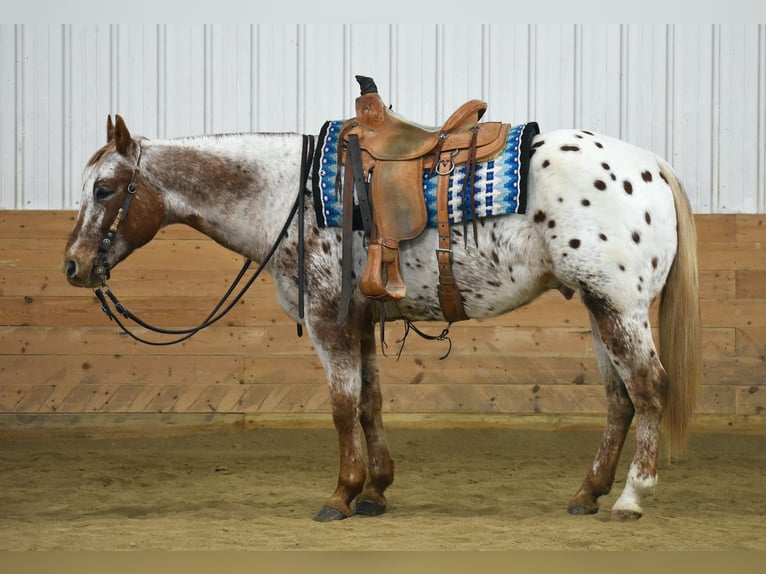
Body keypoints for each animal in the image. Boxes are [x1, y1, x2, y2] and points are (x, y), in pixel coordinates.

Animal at [66, 110, 704, 524]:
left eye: (105, 190)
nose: (74, 265)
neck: (289, 197)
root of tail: (652, 164)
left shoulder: (329, 320)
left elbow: (341, 407)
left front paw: (341, 495)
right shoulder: (360, 320)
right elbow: (370, 403)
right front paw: (375, 490)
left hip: (618, 306)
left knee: (649, 388)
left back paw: (631, 498)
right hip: (599, 307)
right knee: (620, 400)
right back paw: (588, 493)